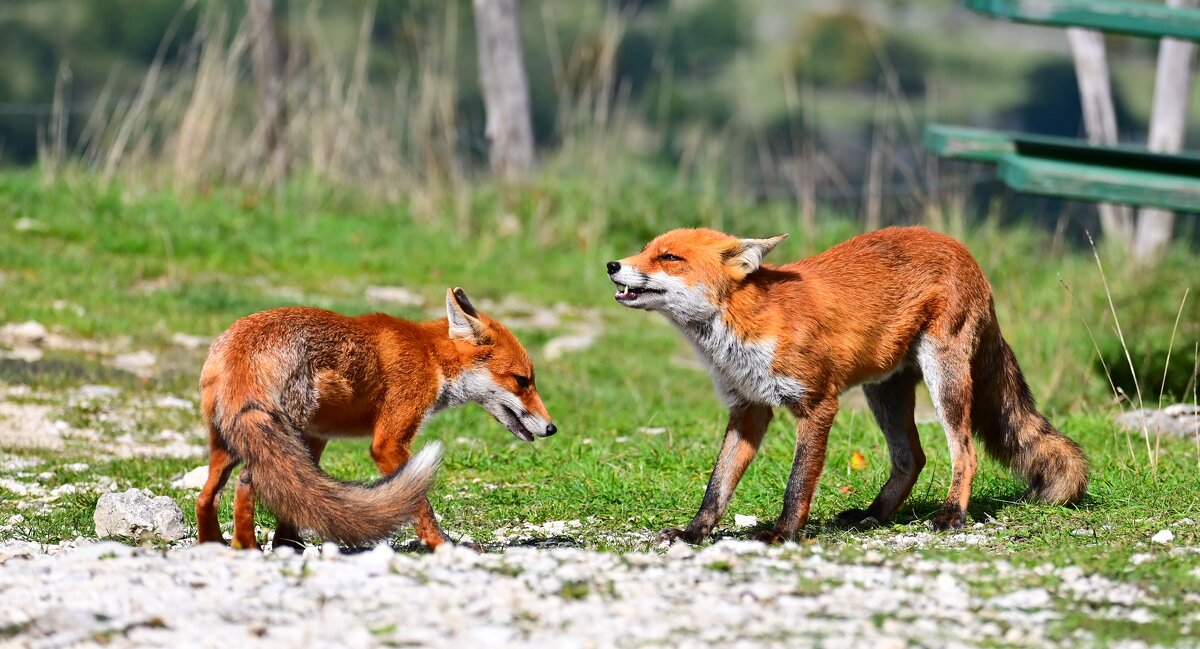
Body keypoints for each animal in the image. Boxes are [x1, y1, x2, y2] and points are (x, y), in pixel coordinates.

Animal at [194, 287, 554, 547]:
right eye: (522, 381)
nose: (552, 428)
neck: (431, 357)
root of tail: (243, 348)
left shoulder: (319, 436)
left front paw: (288, 544)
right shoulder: (389, 442)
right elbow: (421, 506)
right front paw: (441, 546)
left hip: (240, 442)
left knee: (207, 497)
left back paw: (217, 546)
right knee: (245, 484)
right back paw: (246, 548)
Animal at [609, 226, 1089, 542]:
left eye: (669, 258)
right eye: (645, 250)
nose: (612, 264)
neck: (745, 326)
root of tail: (960, 247)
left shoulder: (817, 404)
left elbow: (798, 484)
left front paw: (783, 533)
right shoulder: (748, 408)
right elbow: (717, 487)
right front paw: (693, 532)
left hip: (945, 379)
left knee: (964, 453)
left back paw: (951, 515)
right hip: (884, 392)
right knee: (912, 458)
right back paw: (873, 515)